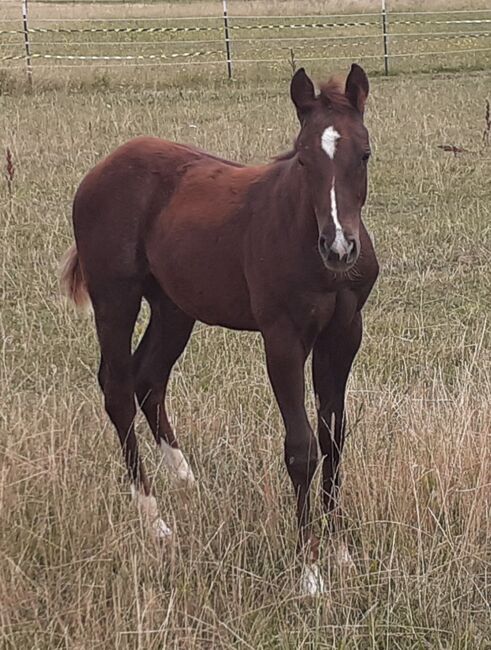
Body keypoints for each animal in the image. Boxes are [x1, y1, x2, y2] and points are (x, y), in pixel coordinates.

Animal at [59, 64, 378, 592]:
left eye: (365, 153)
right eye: (303, 158)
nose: (339, 248)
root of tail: (99, 171)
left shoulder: (344, 334)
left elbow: (334, 438)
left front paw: (342, 554)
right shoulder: (283, 338)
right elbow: (302, 448)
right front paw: (309, 571)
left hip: (173, 307)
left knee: (149, 379)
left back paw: (187, 482)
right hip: (116, 298)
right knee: (118, 387)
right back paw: (155, 519)